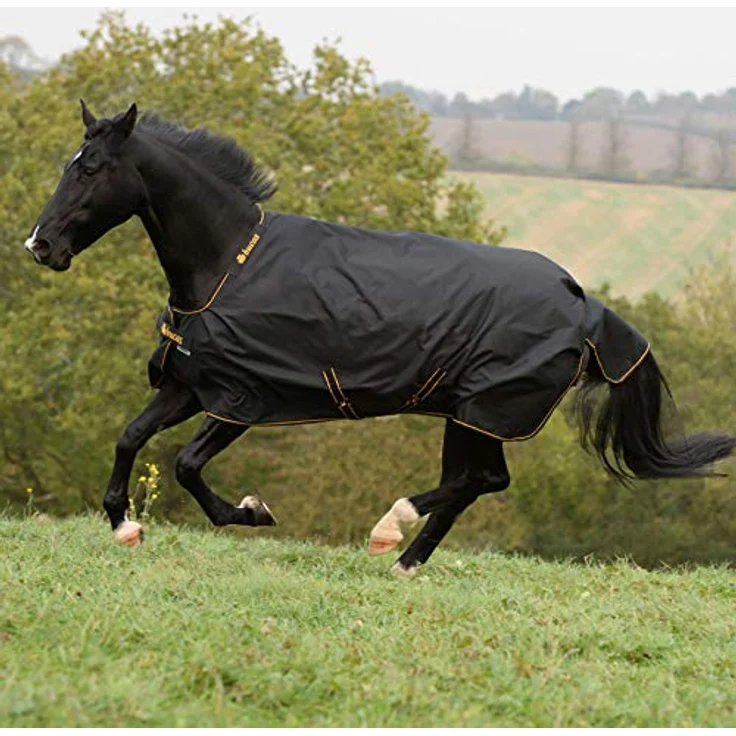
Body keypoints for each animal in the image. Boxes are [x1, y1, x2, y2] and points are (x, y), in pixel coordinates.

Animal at [24, 102, 736, 576]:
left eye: (90, 167)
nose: (40, 245)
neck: (230, 262)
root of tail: (583, 302)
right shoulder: (188, 385)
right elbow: (129, 438)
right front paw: (125, 526)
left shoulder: (240, 399)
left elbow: (186, 466)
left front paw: (254, 511)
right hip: (468, 414)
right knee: (476, 481)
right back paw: (404, 563)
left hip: (488, 408)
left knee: (480, 481)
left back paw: (389, 529)